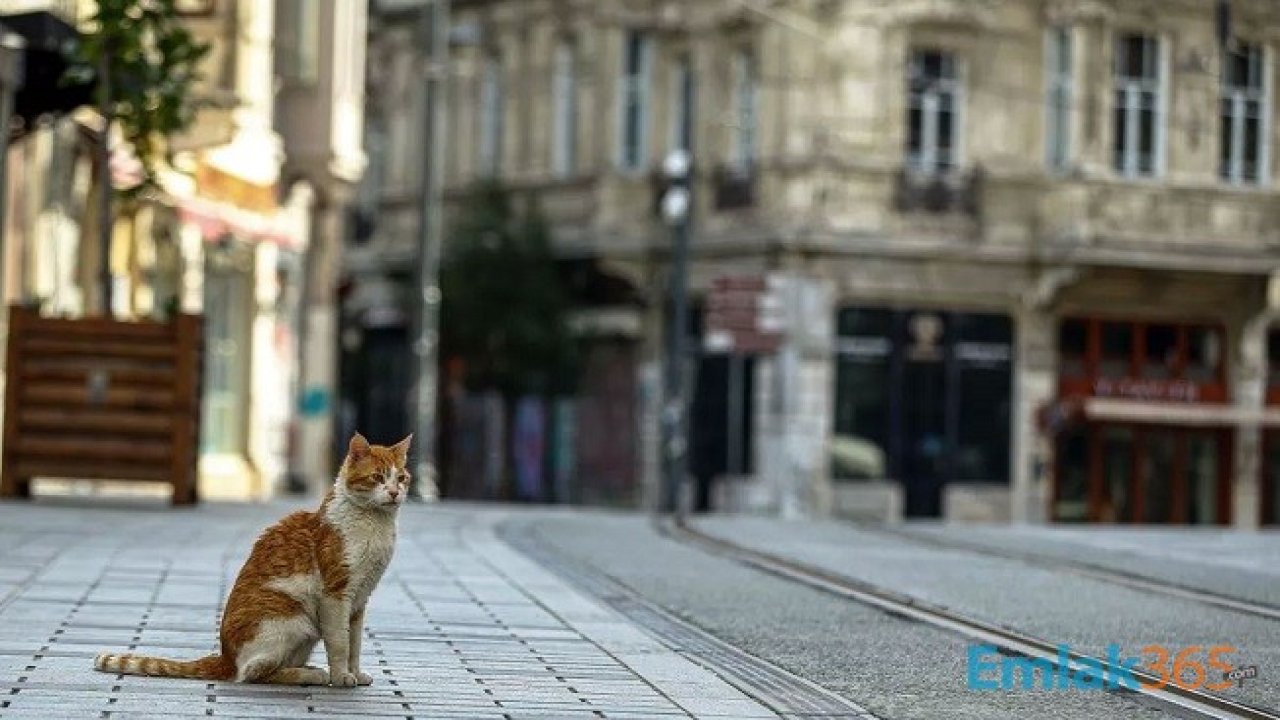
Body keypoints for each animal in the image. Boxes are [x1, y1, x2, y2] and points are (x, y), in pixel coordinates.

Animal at [93, 430, 409, 681]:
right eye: (378, 477)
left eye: (402, 478)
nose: (395, 492)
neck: (376, 527)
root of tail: (225, 658)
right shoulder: (337, 594)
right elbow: (340, 642)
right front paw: (342, 676)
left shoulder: (359, 600)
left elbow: (354, 643)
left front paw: (355, 673)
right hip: (296, 620)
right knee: (253, 672)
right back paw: (311, 676)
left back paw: (307, 670)